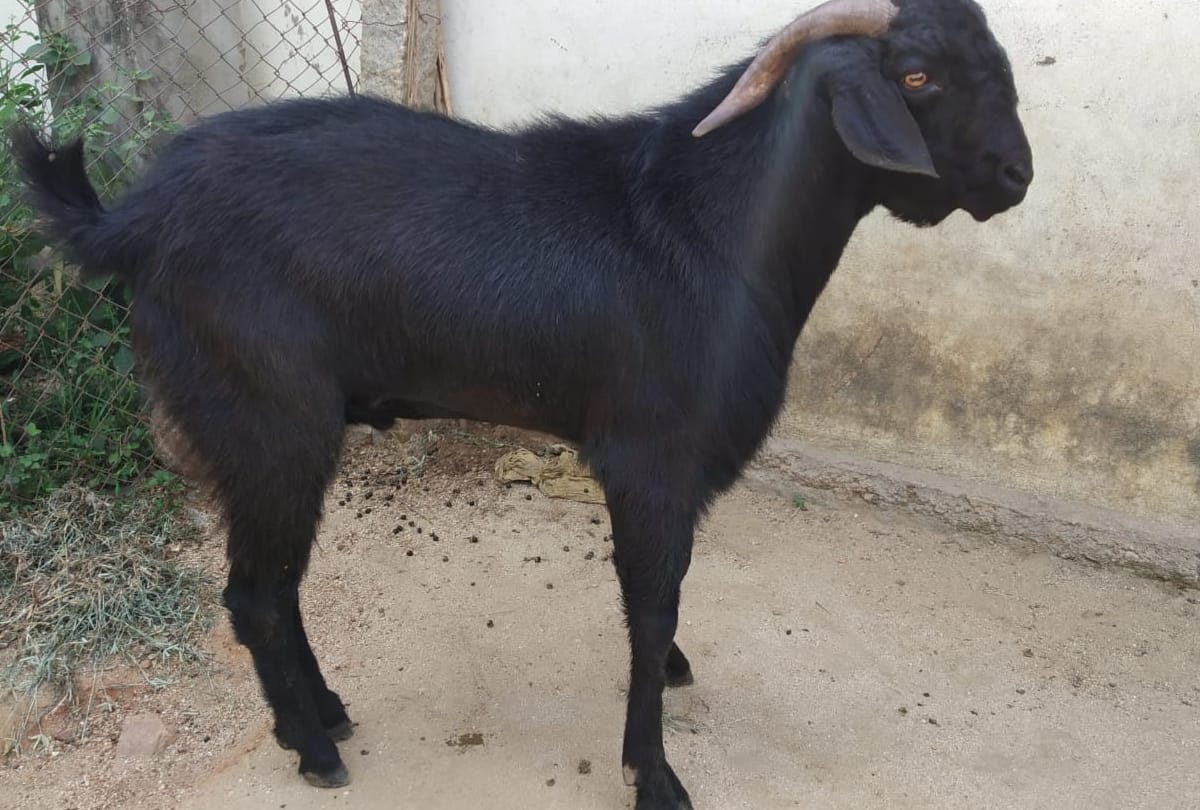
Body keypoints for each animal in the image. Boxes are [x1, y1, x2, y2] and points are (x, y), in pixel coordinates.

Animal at [12, 0, 1032, 806]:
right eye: (917, 76)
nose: (1014, 175)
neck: (713, 230)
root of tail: (132, 217)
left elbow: (669, 600)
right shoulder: (649, 458)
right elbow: (652, 603)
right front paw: (652, 773)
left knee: (280, 586)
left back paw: (328, 716)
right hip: (267, 419)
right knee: (256, 594)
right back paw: (311, 749)